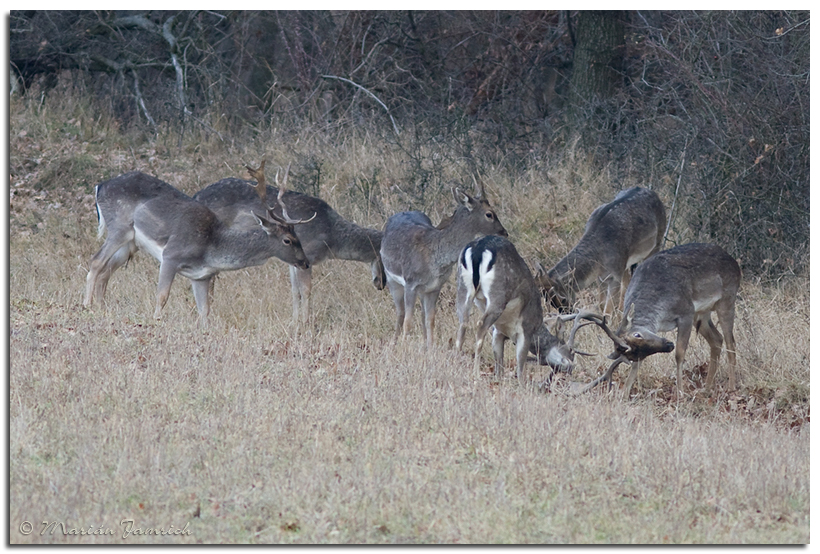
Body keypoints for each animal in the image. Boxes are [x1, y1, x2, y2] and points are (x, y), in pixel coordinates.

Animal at [194, 162, 386, 326]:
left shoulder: (296, 261)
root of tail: (196, 196)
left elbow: (295, 291)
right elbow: (306, 290)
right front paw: (306, 323)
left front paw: (294, 321)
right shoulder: (309, 255)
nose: (381, 284)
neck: (331, 238)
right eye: (384, 257)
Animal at [382, 180, 510, 350]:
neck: (434, 260)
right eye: (489, 214)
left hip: (422, 290)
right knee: (400, 312)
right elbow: (408, 321)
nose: (504, 232)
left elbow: (430, 320)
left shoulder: (435, 287)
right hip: (391, 278)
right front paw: (405, 348)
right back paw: (394, 343)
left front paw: (430, 349)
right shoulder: (410, 282)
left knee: (421, 315)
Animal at [454, 233, 608, 384]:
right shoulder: (525, 329)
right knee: (481, 324)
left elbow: (499, 366)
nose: (570, 368)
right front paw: (521, 384)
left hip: (463, 286)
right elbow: (520, 366)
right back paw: (476, 375)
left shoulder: (498, 332)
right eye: (570, 351)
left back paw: (455, 365)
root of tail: (479, 248)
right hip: (498, 294)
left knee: (463, 323)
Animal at [532, 185, 668, 312]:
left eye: (563, 298)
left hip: (657, 241)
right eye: (548, 301)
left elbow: (608, 310)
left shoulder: (615, 274)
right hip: (626, 263)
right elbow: (602, 305)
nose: (568, 312)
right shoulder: (601, 277)